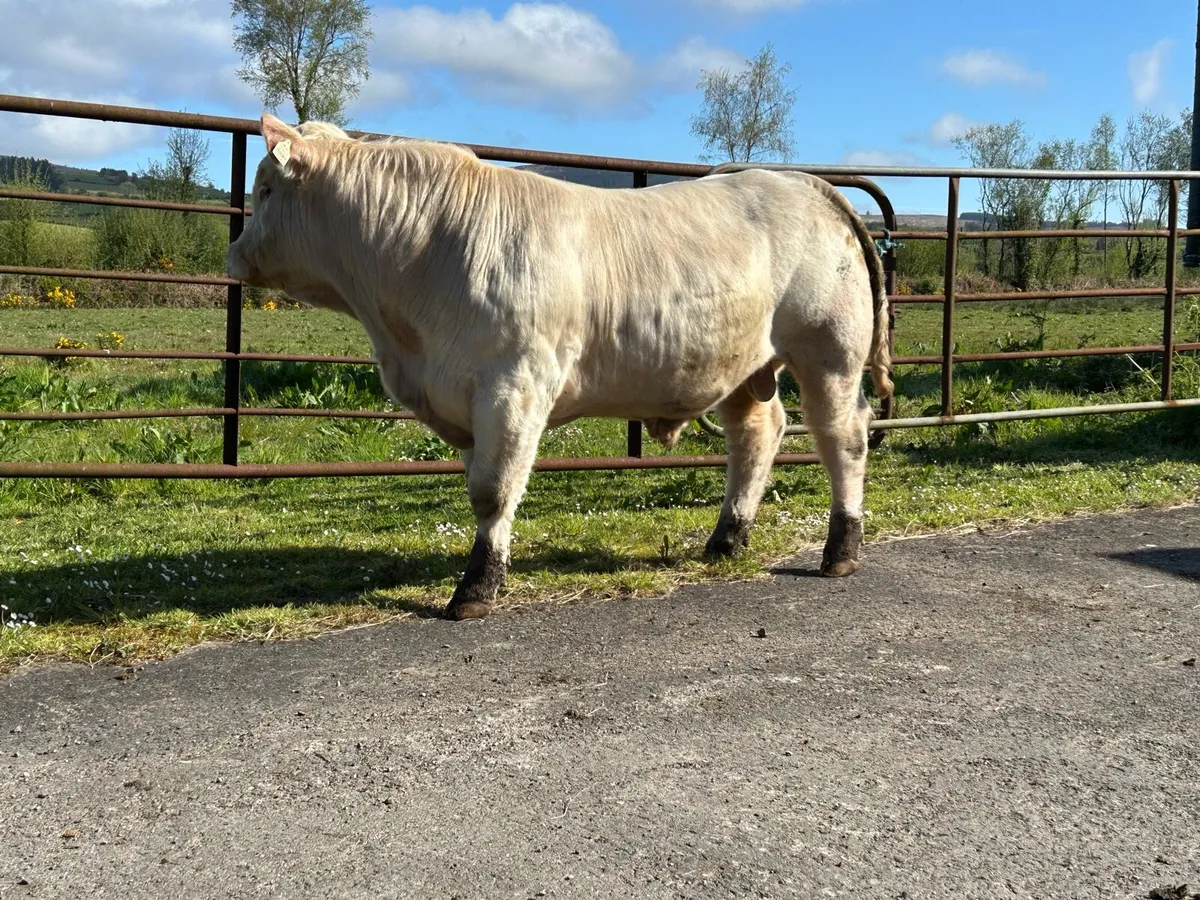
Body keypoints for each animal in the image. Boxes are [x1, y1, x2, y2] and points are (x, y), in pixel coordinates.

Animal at [228, 114, 893, 621]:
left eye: (265, 190)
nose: (234, 254)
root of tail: (808, 184)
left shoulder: (514, 386)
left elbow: (494, 490)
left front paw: (476, 589)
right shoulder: (462, 397)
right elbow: (479, 484)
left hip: (829, 351)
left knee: (842, 438)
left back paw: (841, 548)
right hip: (740, 364)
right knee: (758, 435)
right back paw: (727, 538)